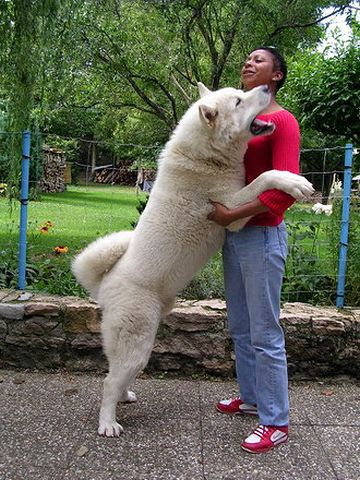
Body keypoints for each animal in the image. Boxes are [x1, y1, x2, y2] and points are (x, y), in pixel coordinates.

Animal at [71, 82, 314, 436]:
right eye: (239, 101)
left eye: (240, 90)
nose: (266, 87)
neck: (205, 155)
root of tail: (105, 282)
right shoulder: (232, 209)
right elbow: (265, 177)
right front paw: (293, 181)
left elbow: (262, 177)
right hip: (136, 343)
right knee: (108, 382)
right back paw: (108, 423)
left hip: (142, 343)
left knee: (117, 376)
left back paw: (125, 397)